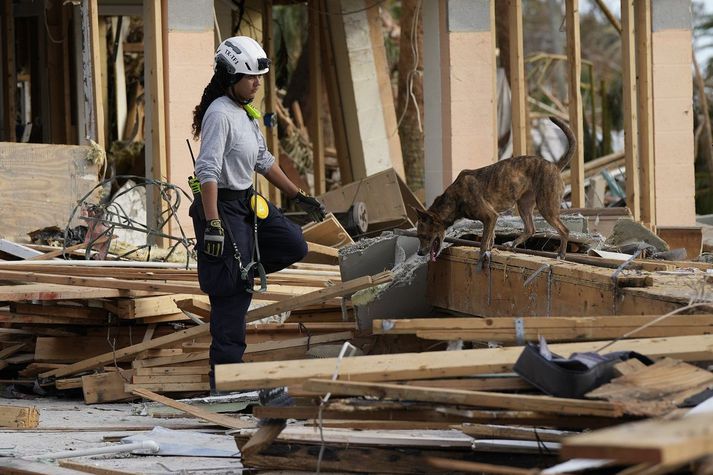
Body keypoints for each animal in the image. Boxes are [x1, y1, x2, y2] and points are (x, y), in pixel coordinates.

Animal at [414, 115, 576, 264]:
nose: (419, 253)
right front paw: (489, 252)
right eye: (419, 236)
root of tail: (555, 166)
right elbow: (490, 238)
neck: (454, 198)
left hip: (546, 207)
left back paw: (561, 254)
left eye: (425, 236)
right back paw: (512, 243)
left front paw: (482, 258)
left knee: (564, 230)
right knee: (530, 229)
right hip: (523, 205)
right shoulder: (492, 219)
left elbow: (483, 242)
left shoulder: (490, 216)